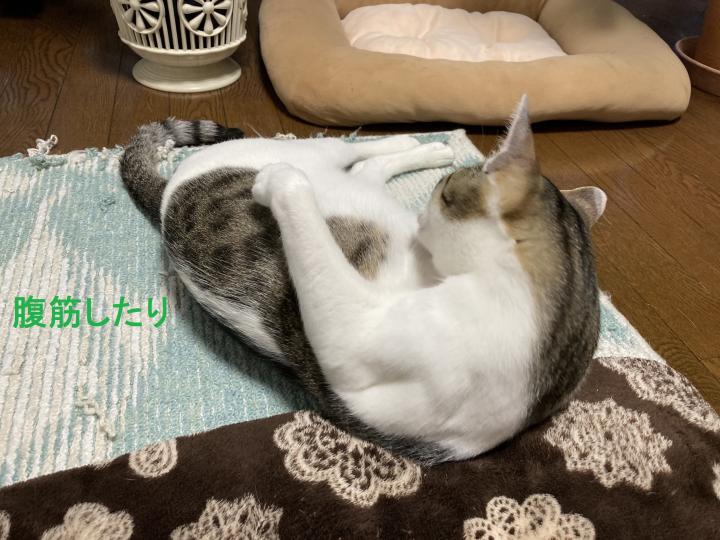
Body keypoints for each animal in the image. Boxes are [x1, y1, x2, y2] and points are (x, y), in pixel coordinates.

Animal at [121, 96, 606, 464]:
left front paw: (278, 182)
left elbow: (303, 211)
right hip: (317, 162)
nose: (420, 218)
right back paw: (419, 144)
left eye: (443, 193)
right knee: (349, 154)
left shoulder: (351, 333)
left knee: (352, 163)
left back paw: (416, 147)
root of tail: (168, 190)